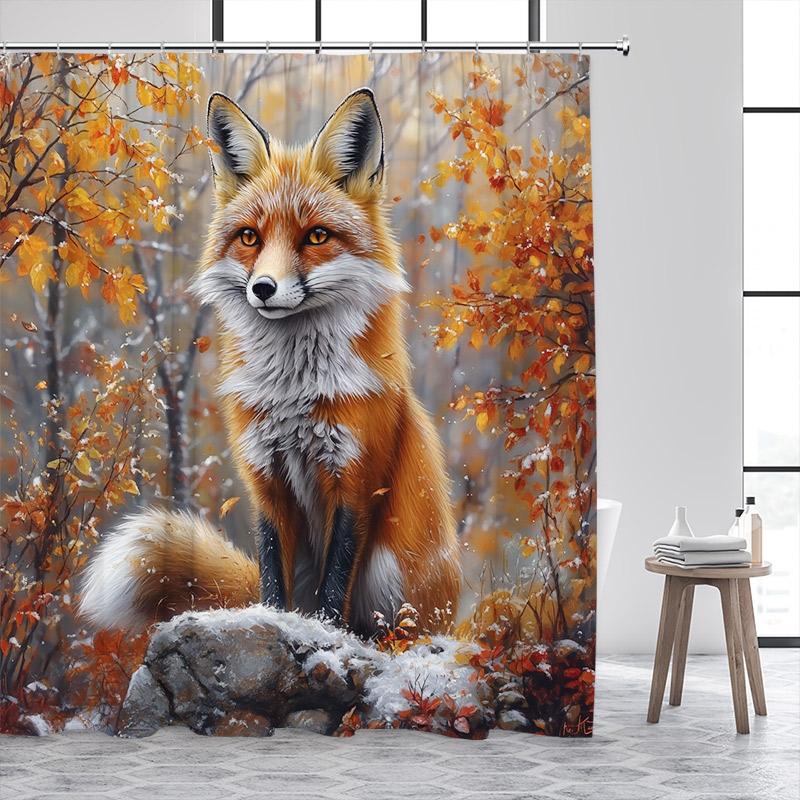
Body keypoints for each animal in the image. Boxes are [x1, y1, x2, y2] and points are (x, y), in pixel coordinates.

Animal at [79, 88, 461, 637]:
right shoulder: (265, 477)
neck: (293, 393)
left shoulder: (357, 479)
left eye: (316, 237)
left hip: (393, 575)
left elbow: (335, 583)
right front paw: (274, 623)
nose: (263, 288)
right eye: (250, 238)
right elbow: (272, 578)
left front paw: (323, 632)